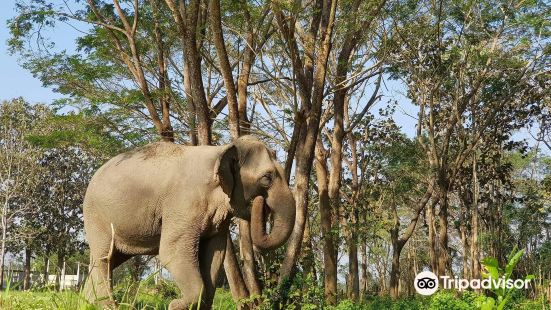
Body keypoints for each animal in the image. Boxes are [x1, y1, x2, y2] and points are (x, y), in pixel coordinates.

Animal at [82, 136, 296, 310]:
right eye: (267, 178)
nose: (261, 203)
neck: (220, 150)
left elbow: (215, 254)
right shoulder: (183, 204)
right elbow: (172, 251)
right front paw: (175, 305)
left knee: (107, 260)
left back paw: (87, 302)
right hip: (96, 216)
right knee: (104, 258)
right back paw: (107, 306)